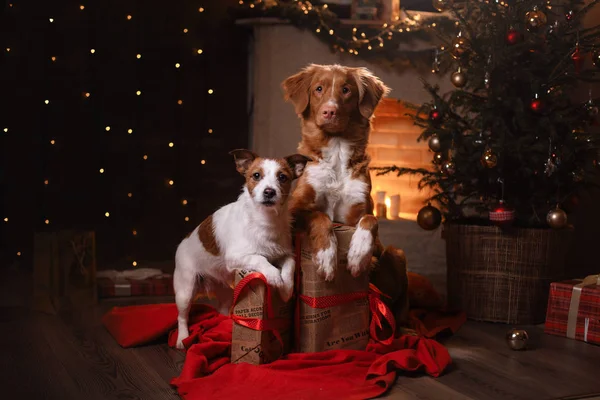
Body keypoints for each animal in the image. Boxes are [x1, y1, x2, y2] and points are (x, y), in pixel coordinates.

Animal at [173, 148, 312, 348]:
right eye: (256, 175)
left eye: (282, 177)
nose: (269, 191)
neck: (265, 221)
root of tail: (183, 241)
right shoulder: (236, 257)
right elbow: (260, 258)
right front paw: (274, 276)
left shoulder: (285, 254)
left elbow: (289, 266)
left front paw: (286, 288)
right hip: (186, 289)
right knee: (182, 316)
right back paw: (182, 338)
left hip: (225, 291)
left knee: (222, 309)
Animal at [284, 63, 410, 322]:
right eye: (318, 88)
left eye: (346, 90)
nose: (329, 112)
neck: (337, 150)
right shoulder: (294, 208)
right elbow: (320, 216)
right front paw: (326, 258)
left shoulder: (359, 212)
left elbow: (371, 220)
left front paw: (358, 256)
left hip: (396, 253)